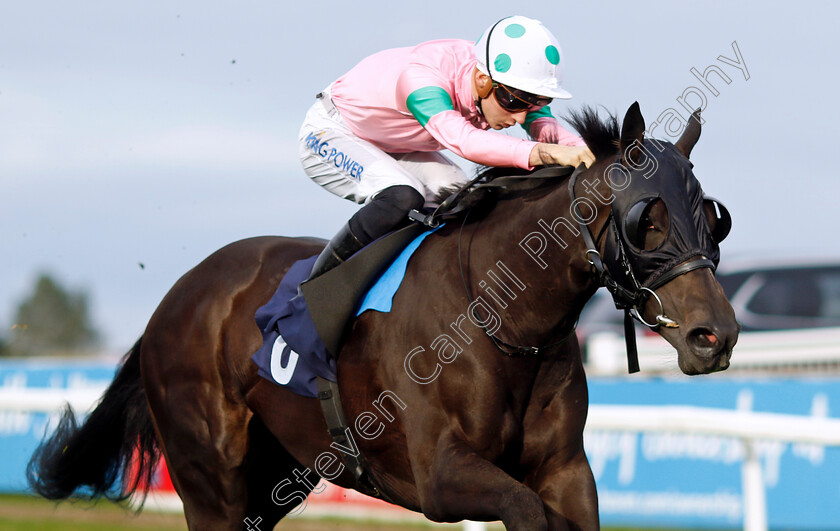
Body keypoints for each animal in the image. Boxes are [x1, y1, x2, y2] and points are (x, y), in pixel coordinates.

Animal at [27, 102, 736, 528]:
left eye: (714, 215)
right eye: (648, 219)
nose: (716, 335)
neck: (501, 317)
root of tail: (172, 300)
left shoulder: (567, 470)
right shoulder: (440, 477)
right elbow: (523, 509)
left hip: (277, 472)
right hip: (209, 478)